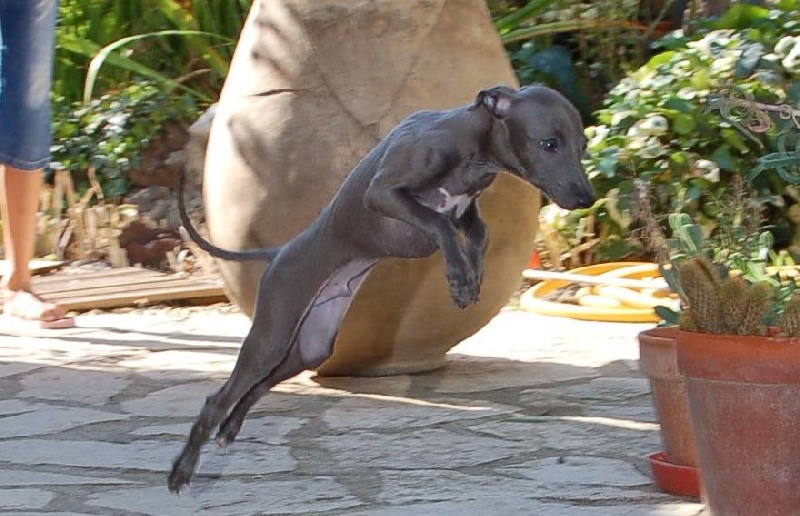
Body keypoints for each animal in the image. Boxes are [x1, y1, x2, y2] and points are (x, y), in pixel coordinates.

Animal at [167, 85, 594, 493]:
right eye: (549, 144)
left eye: (582, 145)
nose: (586, 198)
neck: (470, 144)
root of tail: (279, 253)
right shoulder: (384, 192)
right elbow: (439, 224)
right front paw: (458, 280)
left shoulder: (466, 211)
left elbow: (479, 231)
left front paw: (471, 275)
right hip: (272, 335)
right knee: (220, 397)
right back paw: (182, 471)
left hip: (312, 345)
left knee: (257, 388)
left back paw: (228, 432)